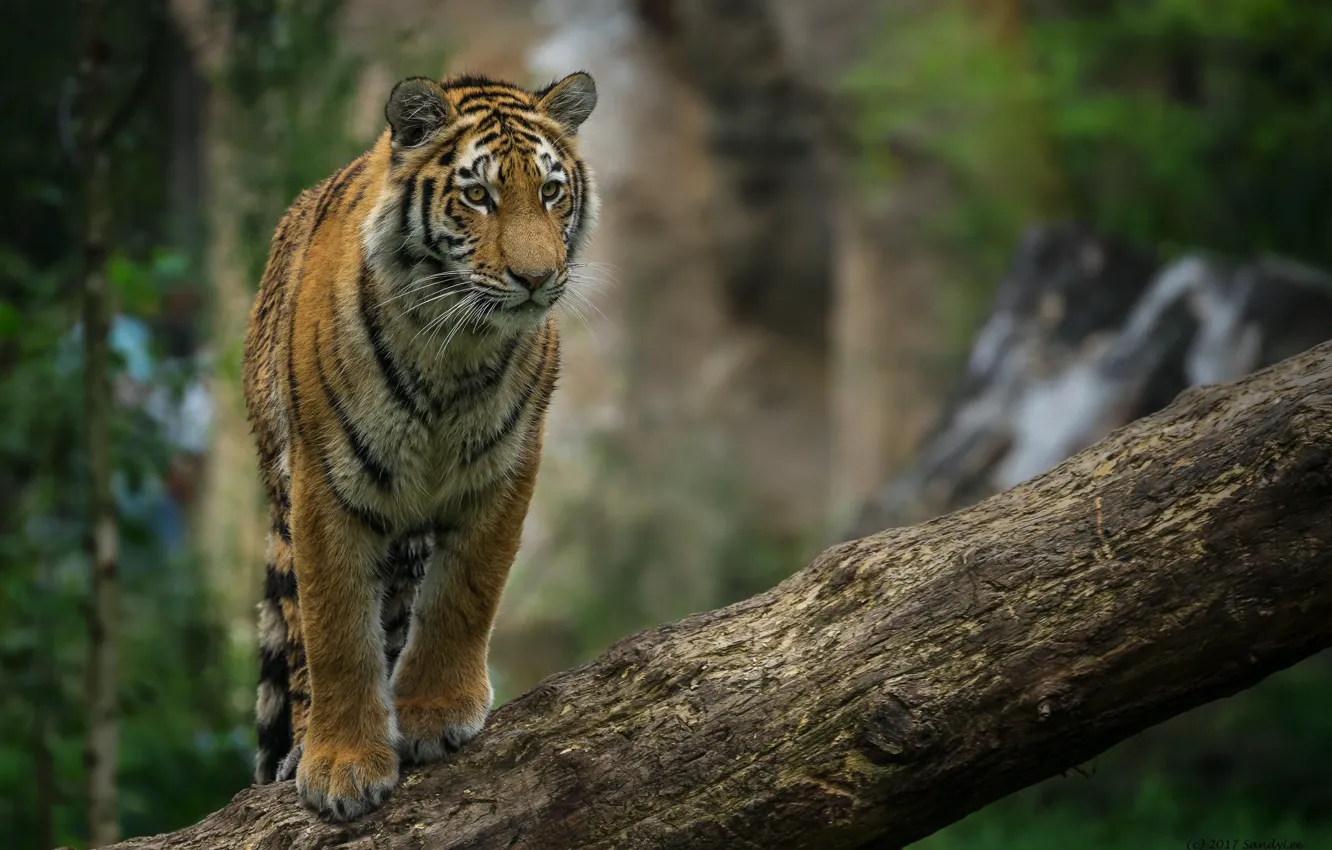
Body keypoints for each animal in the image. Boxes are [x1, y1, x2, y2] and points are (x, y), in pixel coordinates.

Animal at [240, 70, 600, 821]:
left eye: (551, 191)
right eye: (478, 195)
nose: (536, 278)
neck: (453, 348)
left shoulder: (505, 469)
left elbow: (464, 593)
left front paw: (434, 715)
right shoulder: (326, 484)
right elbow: (336, 630)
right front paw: (341, 766)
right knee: (298, 640)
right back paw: (299, 748)